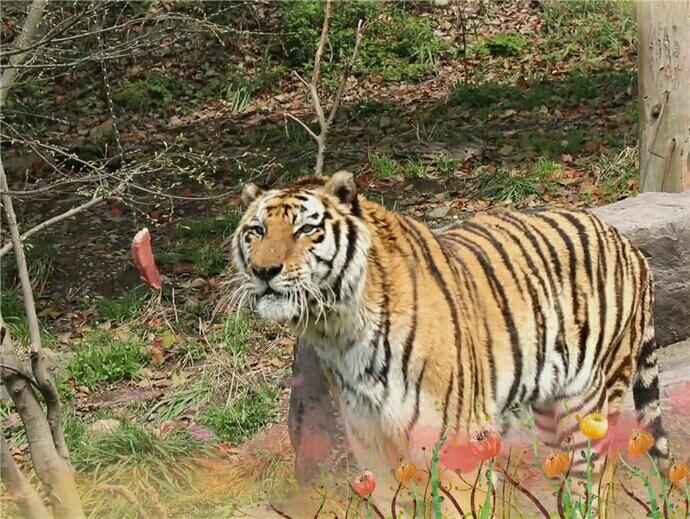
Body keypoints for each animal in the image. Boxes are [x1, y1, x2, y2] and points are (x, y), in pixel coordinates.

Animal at [230, 172, 668, 512]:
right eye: (257, 231)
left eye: (306, 229)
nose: (264, 271)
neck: (339, 330)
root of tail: (629, 245)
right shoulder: (371, 443)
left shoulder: (456, 443)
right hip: (550, 409)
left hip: (588, 404)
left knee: (596, 479)